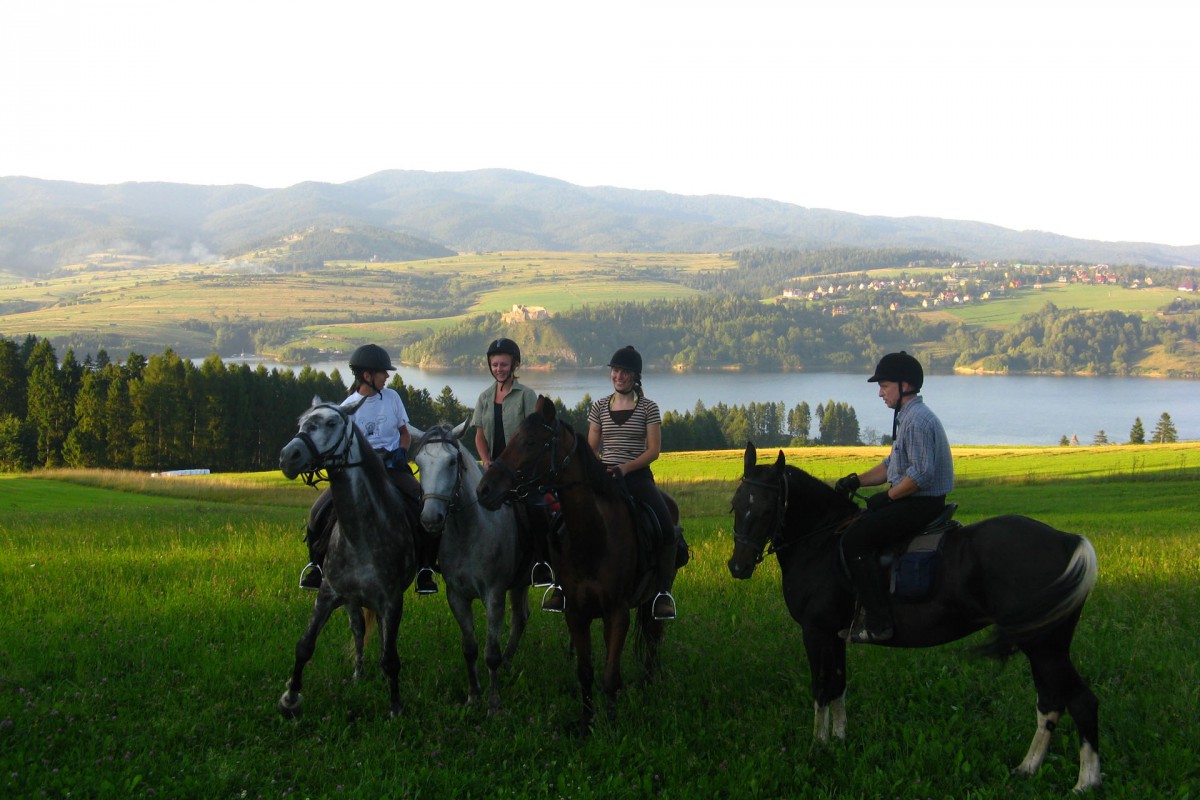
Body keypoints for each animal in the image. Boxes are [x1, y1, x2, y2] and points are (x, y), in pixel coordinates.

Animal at [277, 395, 417, 718]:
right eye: (302, 422)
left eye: (331, 423)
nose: (288, 456)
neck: (361, 533)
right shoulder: (329, 593)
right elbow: (305, 645)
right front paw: (290, 698)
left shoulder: (392, 599)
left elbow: (391, 657)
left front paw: (396, 706)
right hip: (353, 600)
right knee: (359, 630)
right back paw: (358, 674)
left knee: (382, 636)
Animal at [409, 420, 531, 713]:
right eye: (419, 462)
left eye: (452, 462)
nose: (431, 519)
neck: (469, 530)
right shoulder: (457, 596)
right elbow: (470, 648)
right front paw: (473, 695)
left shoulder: (494, 596)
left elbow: (490, 653)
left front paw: (494, 703)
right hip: (520, 583)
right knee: (520, 618)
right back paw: (509, 663)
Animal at [476, 396, 678, 730]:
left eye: (530, 442)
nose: (484, 490)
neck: (594, 538)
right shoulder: (575, 613)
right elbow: (585, 672)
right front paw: (586, 722)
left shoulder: (617, 613)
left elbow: (610, 675)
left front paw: (611, 724)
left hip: (654, 598)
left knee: (653, 638)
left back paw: (649, 683)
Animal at [728, 443, 1100, 793]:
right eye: (735, 505)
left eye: (767, 509)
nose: (738, 566)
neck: (821, 542)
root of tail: (1067, 541)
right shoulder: (835, 636)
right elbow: (838, 685)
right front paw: (839, 738)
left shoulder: (816, 632)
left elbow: (821, 687)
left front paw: (818, 746)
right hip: (1043, 645)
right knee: (1050, 702)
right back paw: (1028, 768)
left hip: (1044, 647)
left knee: (1079, 701)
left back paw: (1085, 781)